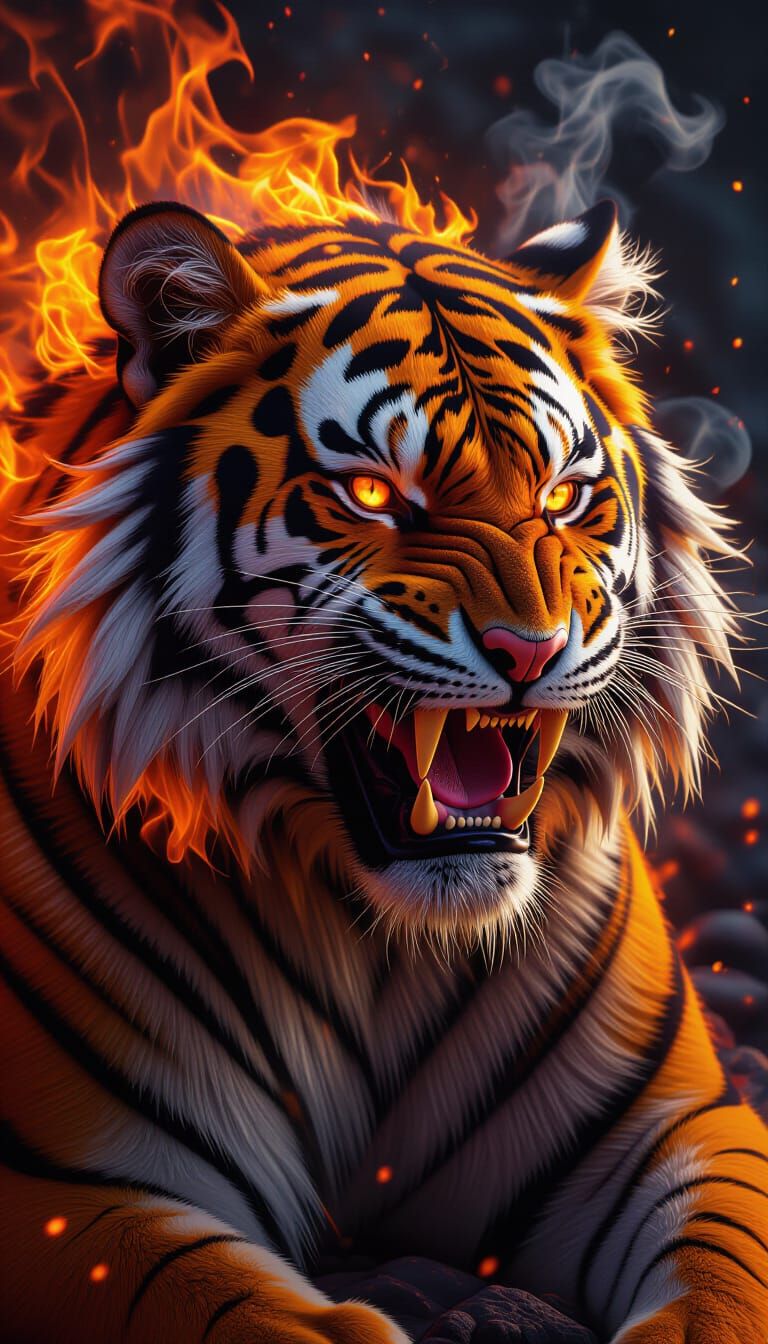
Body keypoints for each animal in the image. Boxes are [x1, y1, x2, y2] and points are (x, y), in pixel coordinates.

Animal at [1, 190, 766, 1344]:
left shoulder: (680, 1129)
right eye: (371, 492)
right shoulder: (73, 1184)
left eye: (564, 496)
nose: (531, 649)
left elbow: (725, 1288)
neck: (379, 941)